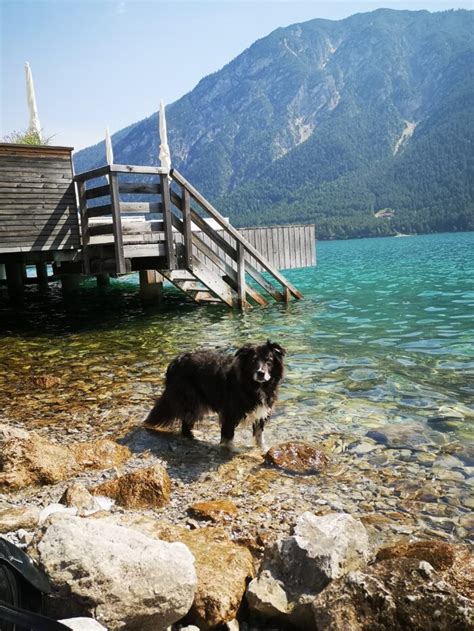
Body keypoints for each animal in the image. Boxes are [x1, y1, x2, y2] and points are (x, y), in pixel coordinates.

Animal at [144, 344, 286, 452]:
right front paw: (232, 449)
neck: (254, 385)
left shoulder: (262, 411)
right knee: (186, 423)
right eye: (253, 361)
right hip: (191, 400)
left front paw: (263, 449)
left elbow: (259, 434)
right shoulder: (230, 412)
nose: (261, 373)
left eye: (269, 361)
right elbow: (228, 435)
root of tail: (175, 361)